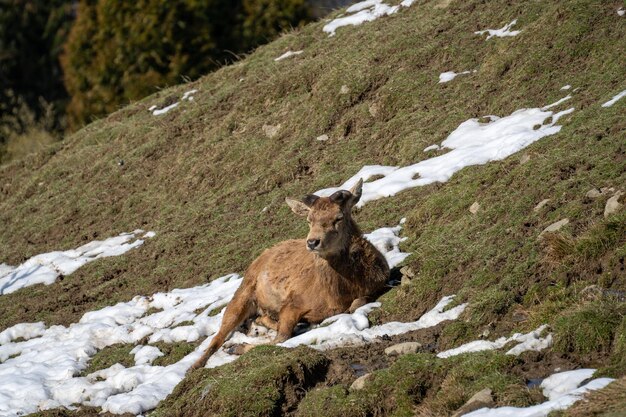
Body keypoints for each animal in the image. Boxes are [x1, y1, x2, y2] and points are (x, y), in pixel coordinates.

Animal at [188, 177, 388, 368]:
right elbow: (281, 337)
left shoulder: (379, 283)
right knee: (219, 335)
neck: (338, 292)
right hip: (242, 293)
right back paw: (197, 364)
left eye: (339, 217)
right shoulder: (292, 302)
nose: (312, 242)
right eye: (309, 219)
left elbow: (356, 304)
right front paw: (237, 347)